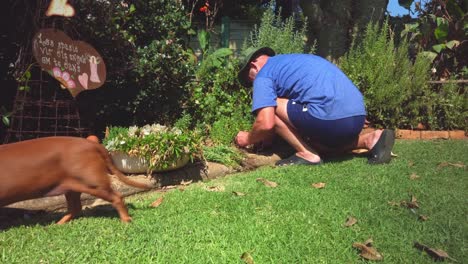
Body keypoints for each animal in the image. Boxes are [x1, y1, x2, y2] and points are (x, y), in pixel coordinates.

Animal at [0, 136, 150, 225]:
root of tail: (91, 143)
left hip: (94, 184)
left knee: (117, 197)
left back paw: (126, 220)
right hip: (72, 187)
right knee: (75, 207)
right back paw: (59, 223)